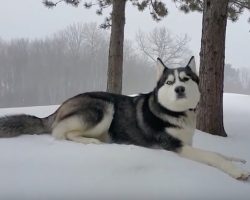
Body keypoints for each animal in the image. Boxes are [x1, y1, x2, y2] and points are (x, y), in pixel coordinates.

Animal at [0, 56, 250, 180]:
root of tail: (61, 105)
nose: (179, 89)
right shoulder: (174, 145)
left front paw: (237, 159)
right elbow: (212, 156)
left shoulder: (187, 142)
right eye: (170, 82)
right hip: (104, 107)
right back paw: (92, 141)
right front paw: (237, 171)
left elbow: (219, 152)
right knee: (62, 134)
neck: (175, 113)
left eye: (186, 79)